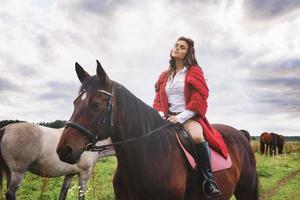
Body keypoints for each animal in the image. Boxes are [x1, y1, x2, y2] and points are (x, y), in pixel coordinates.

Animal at [56, 61, 258, 200]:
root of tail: (240, 134)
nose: (64, 150)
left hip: (246, 190)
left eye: (96, 104)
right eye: (75, 102)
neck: (146, 159)